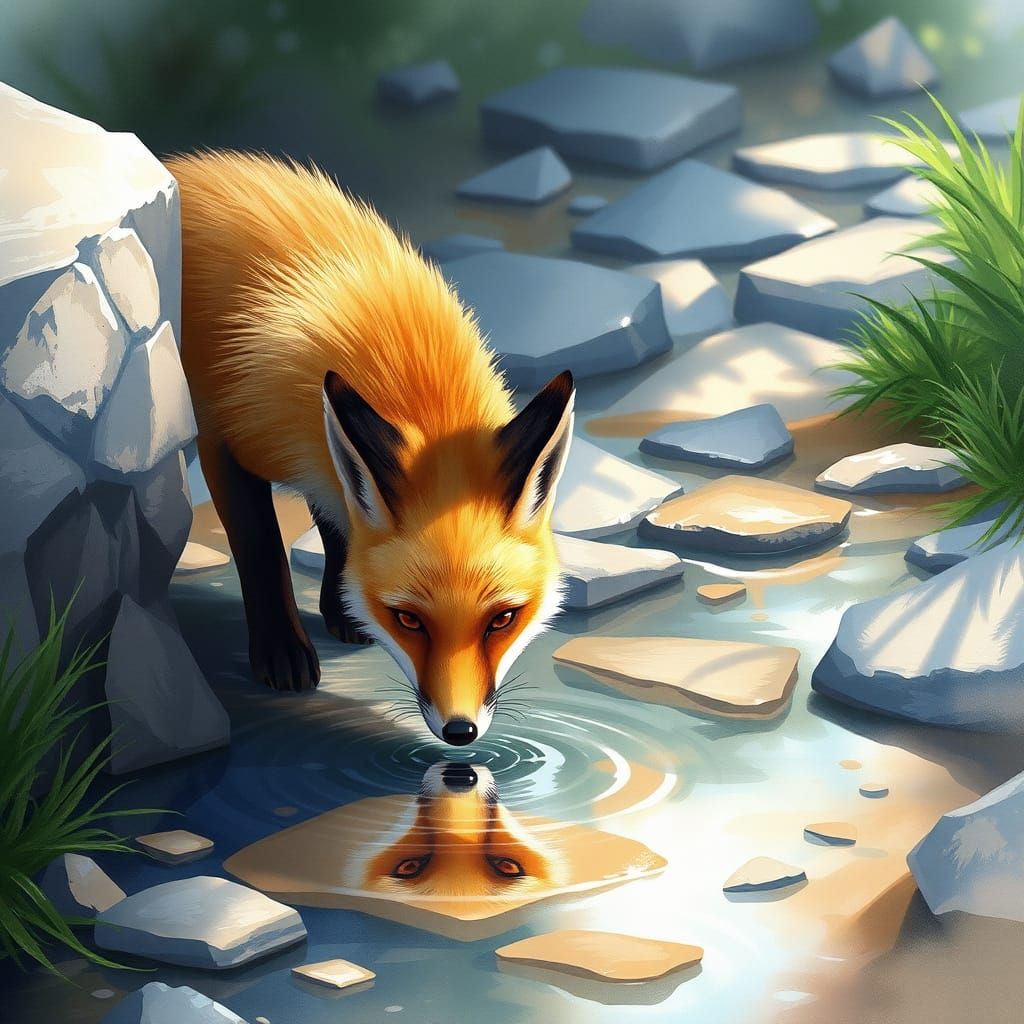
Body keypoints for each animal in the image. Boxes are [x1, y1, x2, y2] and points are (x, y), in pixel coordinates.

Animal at [167, 151, 574, 746]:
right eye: (408, 619)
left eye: (502, 619)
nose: (460, 732)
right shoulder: (223, 441)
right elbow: (262, 548)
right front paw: (282, 650)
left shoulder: (327, 451)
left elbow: (339, 524)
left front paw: (340, 606)